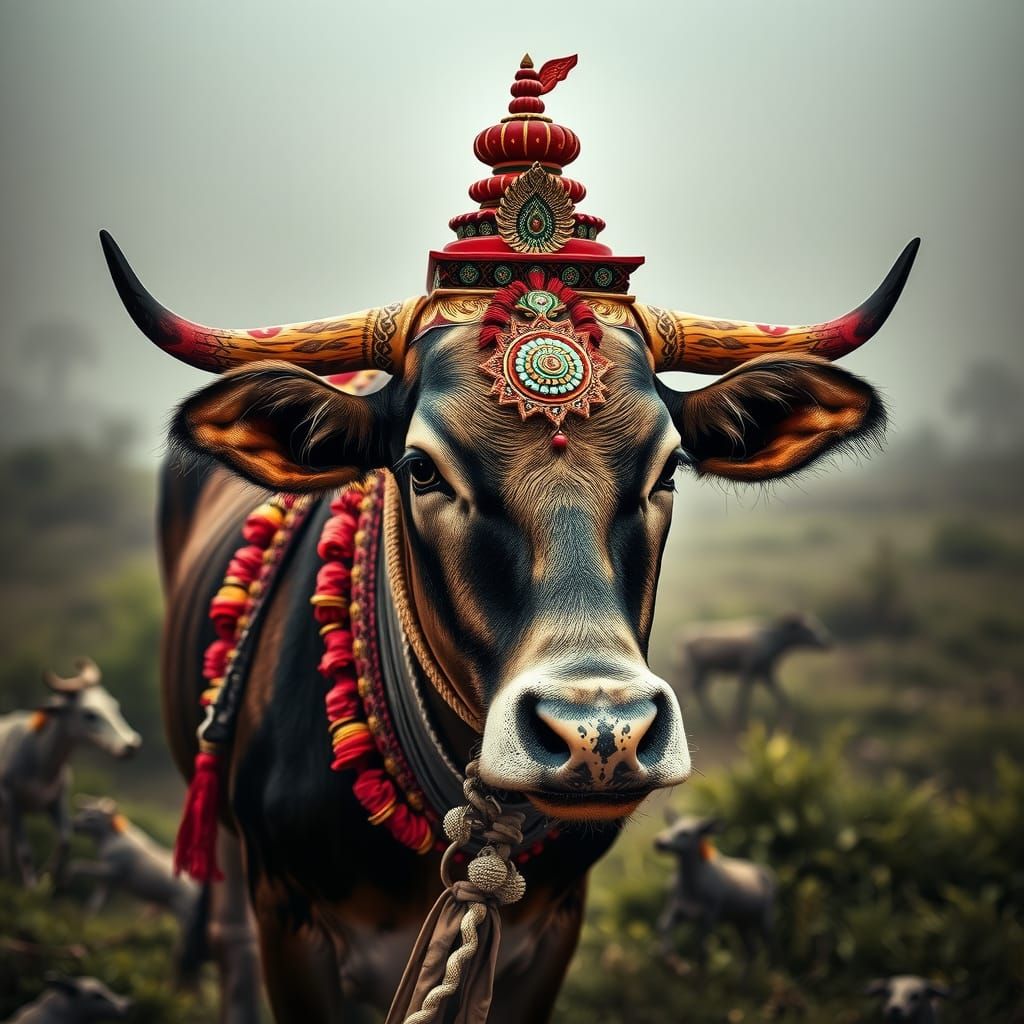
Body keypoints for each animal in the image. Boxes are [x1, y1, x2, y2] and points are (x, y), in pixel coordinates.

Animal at [0, 659, 141, 888]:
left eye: (114, 705)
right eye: (89, 714)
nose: (131, 745)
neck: (41, 761)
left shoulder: (56, 800)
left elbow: (65, 839)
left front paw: (48, 876)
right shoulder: (12, 801)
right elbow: (25, 852)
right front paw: (32, 886)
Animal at [677, 612, 832, 727]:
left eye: (816, 626)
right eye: (809, 629)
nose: (828, 643)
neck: (773, 643)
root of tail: (682, 639)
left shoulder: (766, 674)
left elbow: (781, 696)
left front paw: (789, 718)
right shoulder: (748, 670)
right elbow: (743, 697)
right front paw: (736, 721)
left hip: (707, 672)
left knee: (699, 690)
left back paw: (715, 719)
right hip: (695, 670)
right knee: (689, 689)